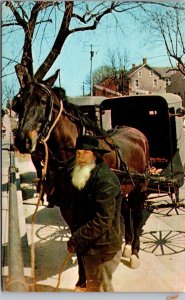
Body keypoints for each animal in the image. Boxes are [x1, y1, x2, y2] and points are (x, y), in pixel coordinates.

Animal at [13, 71, 150, 288]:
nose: (22, 140)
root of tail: (137, 133)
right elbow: (77, 239)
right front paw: (82, 280)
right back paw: (127, 246)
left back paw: (135, 253)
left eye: (43, 101)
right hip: (125, 188)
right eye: (19, 103)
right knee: (126, 211)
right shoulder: (69, 208)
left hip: (141, 187)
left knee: (136, 217)